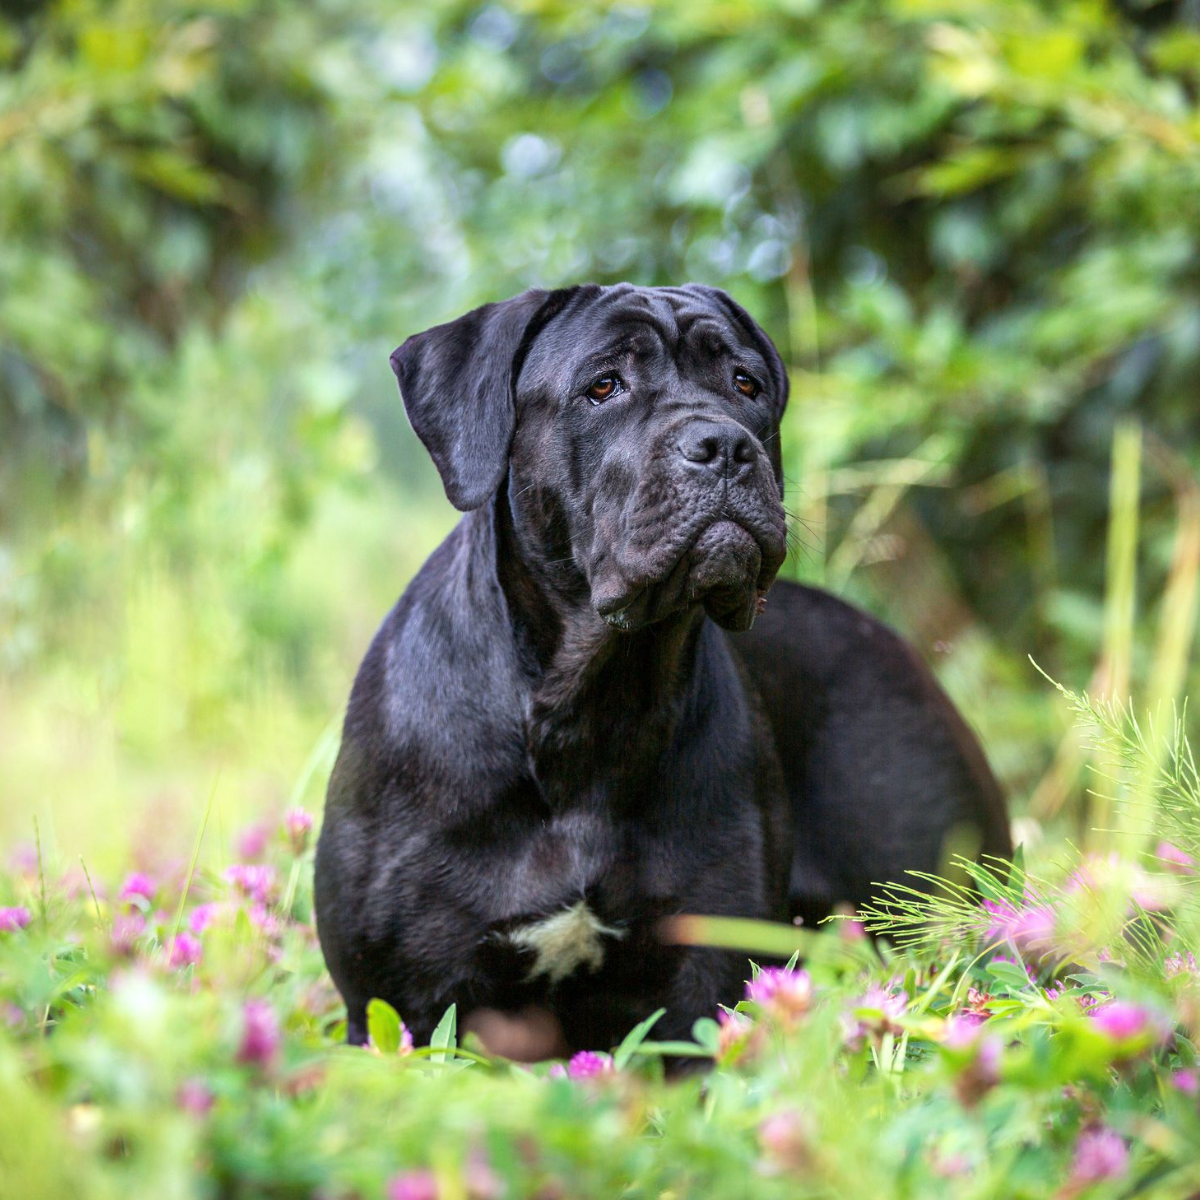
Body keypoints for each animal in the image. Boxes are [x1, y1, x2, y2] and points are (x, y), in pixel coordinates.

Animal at [314, 285, 1008, 1056]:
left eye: (745, 384)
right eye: (603, 387)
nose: (725, 446)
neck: (592, 700)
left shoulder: (702, 982)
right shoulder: (408, 999)